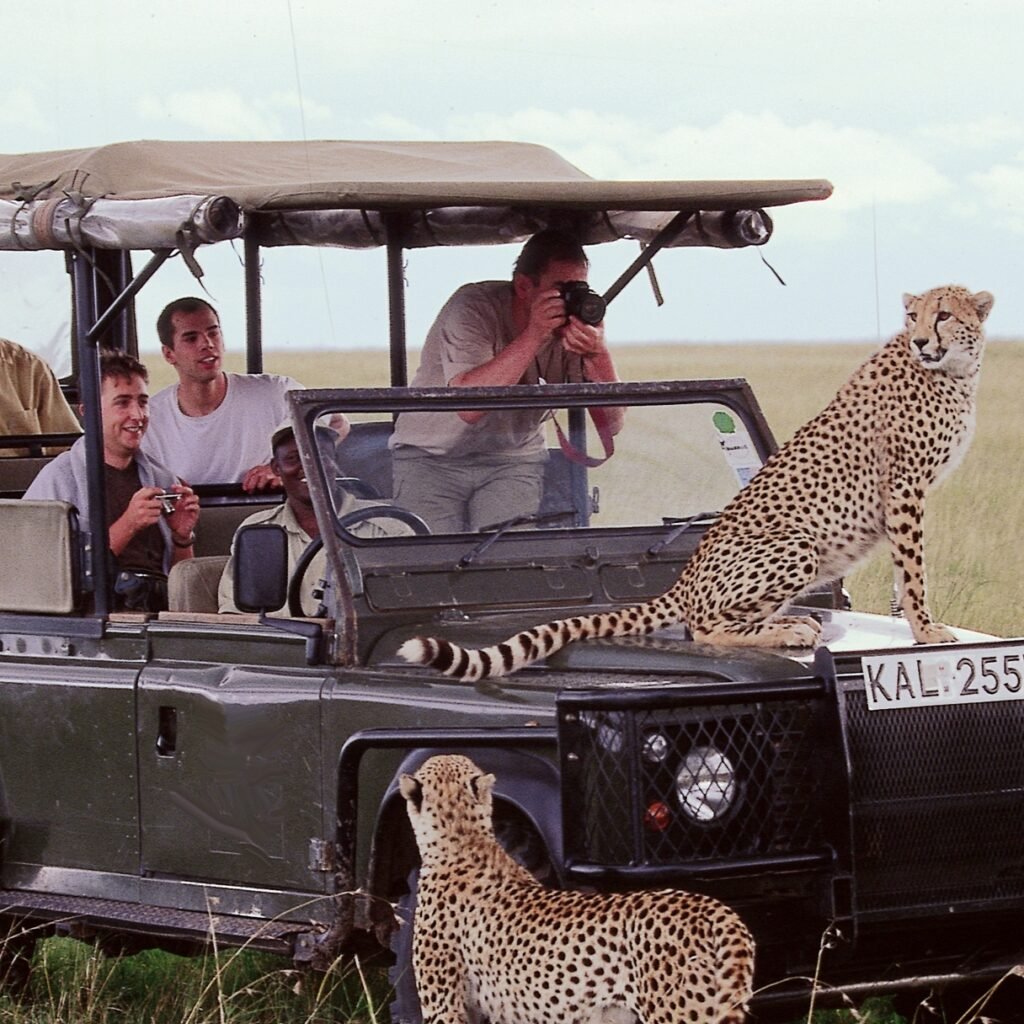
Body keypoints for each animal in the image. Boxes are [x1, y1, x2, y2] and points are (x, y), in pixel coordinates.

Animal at [399, 284, 991, 675]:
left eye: (942, 315)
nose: (921, 341)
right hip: (796, 544)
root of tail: (681, 580)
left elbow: (905, 569)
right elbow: (913, 569)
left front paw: (916, 627)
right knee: (704, 625)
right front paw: (927, 630)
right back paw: (789, 629)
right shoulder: (904, 487)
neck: (955, 372)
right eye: (912, 315)